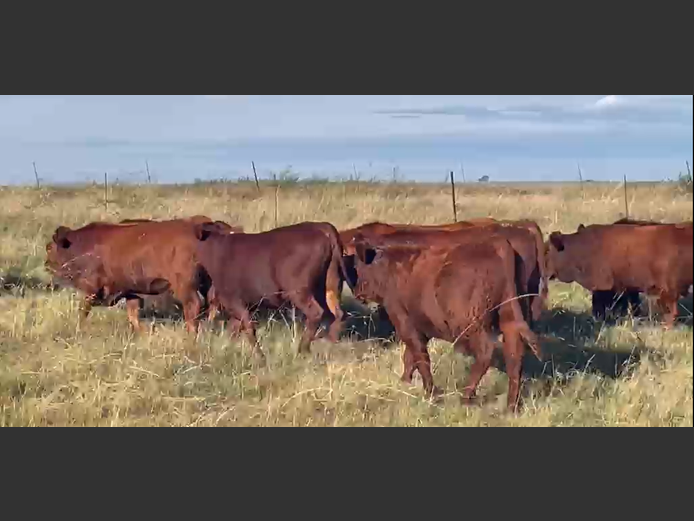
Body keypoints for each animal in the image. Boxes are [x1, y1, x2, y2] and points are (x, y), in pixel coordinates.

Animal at [44, 216, 240, 332]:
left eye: (49, 248)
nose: (46, 264)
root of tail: (203, 226)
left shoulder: (92, 289)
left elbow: (83, 310)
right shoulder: (132, 292)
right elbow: (133, 315)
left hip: (185, 286)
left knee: (193, 306)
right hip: (210, 284)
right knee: (212, 303)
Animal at [194, 221, 355, 359]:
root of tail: (322, 227)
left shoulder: (233, 300)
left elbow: (247, 327)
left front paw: (260, 357)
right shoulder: (247, 304)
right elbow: (235, 329)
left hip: (299, 292)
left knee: (316, 313)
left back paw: (302, 349)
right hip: (329, 287)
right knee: (337, 314)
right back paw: (329, 345)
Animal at [347, 233, 543, 412]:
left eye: (357, 266)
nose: (356, 291)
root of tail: (500, 245)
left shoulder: (404, 321)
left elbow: (420, 357)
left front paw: (431, 393)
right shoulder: (422, 326)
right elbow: (411, 357)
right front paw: (405, 382)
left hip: (472, 324)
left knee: (486, 352)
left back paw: (465, 397)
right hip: (509, 319)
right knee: (514, 356)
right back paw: (511, 407)